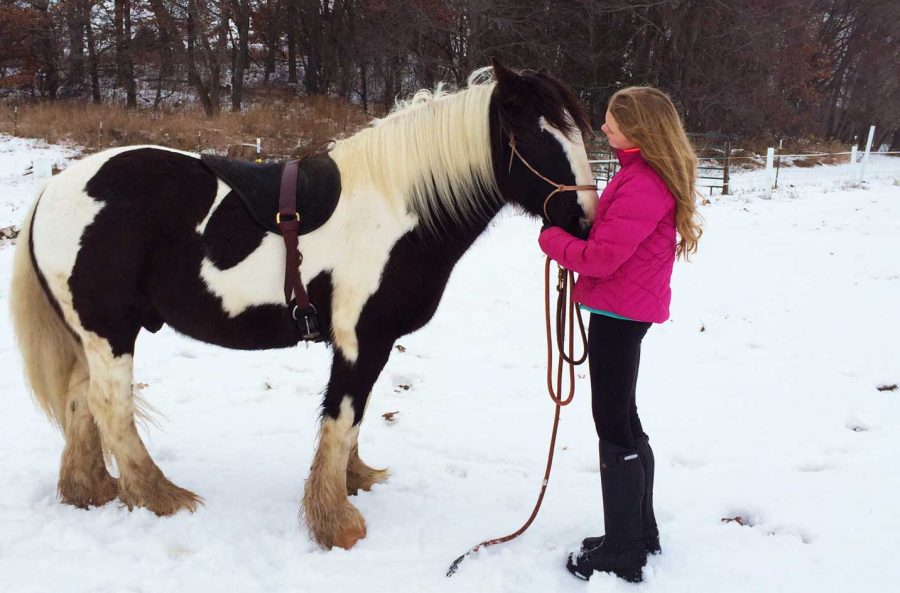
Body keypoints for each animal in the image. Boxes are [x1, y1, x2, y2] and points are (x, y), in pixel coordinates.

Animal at [10, 61, 596, 552]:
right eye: (539, 136)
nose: (586, 219)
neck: (398, 208)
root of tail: (52, 191)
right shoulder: (362, 340)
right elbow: (341, 417)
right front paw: (336, 523)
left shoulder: (369, 344)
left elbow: (354, 418)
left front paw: (354, 482)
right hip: (111, 332)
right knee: (111, 406)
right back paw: (159, 496)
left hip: (91, 335)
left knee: (81, 401)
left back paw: (90, 489)